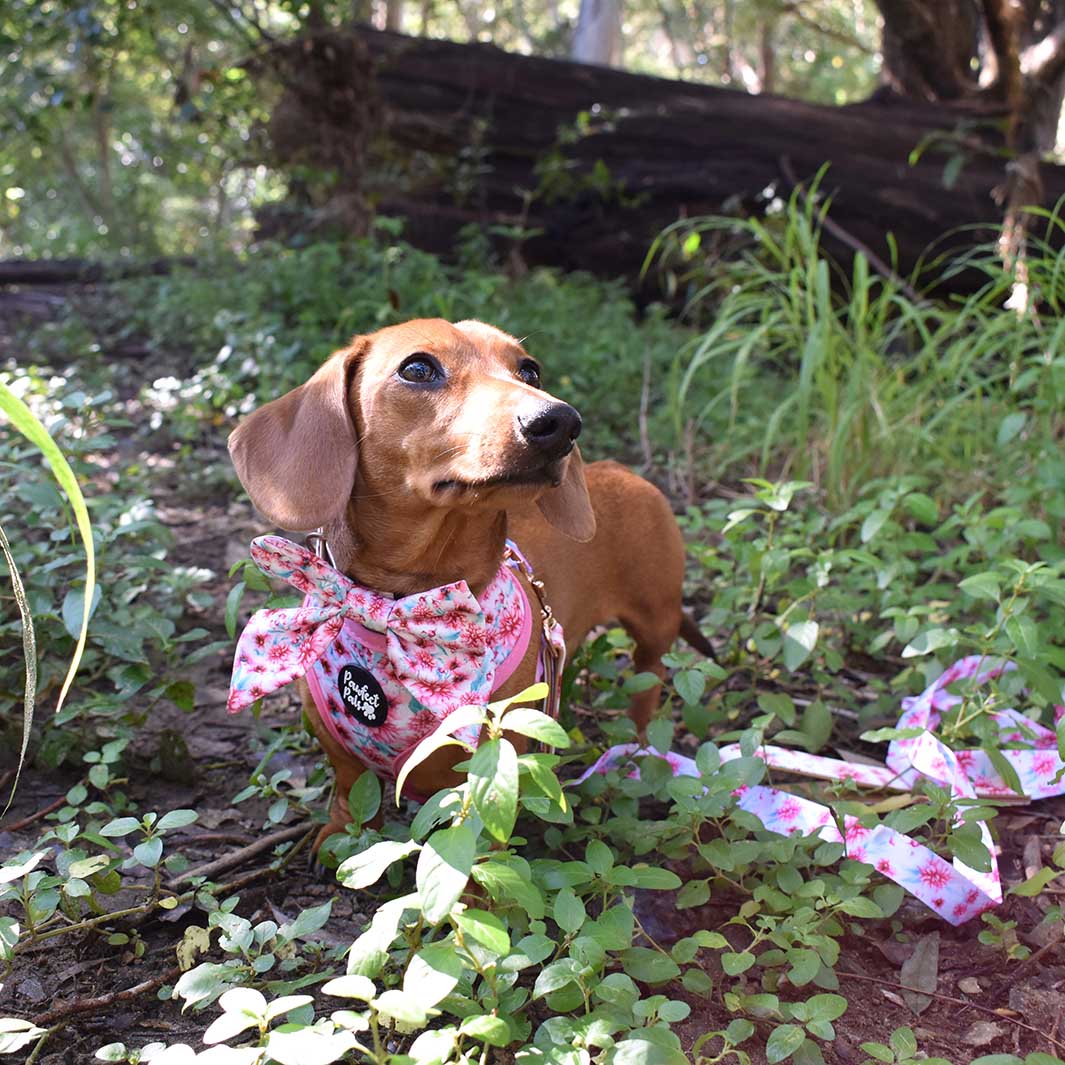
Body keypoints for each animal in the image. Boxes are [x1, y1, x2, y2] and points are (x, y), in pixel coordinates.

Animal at [226, 317, 707, 847]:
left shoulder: (495, 761)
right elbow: (351, 798)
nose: (560, 422)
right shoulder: (341, 754)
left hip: (655, 622)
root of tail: (624, 470)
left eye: (530, 371)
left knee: (649, 680)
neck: (401, 608)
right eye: (418, 368)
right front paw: (336, 837)